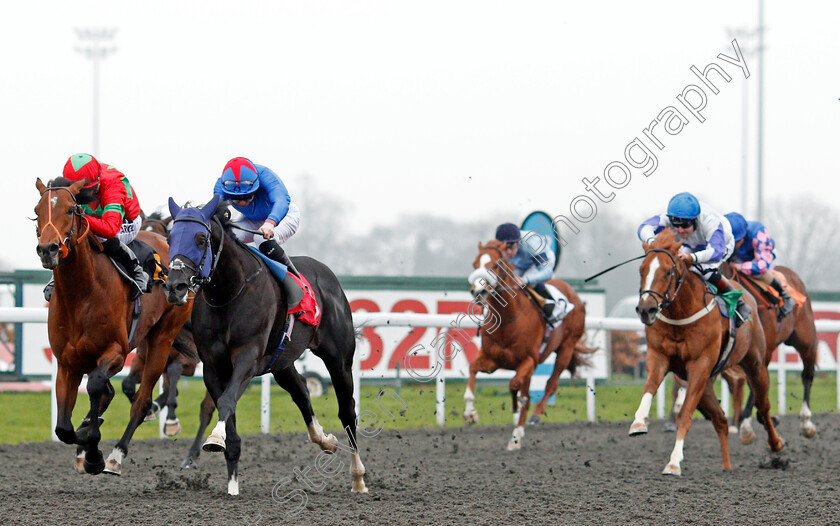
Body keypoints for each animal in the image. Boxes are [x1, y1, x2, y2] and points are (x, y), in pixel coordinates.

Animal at [162, 196, 366, 498]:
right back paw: (325, 440)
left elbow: (227, 401)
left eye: (201, 239)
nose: (175, 287)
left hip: (338, 358)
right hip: (282, 363)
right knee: (302, 392)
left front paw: (215, 437)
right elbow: (228, 415)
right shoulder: (213, 367)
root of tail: (327, 273)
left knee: (347, 412)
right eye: (170, 236)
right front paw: (232, 483)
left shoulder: (247, 358)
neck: (228, 294)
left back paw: (358, 477)